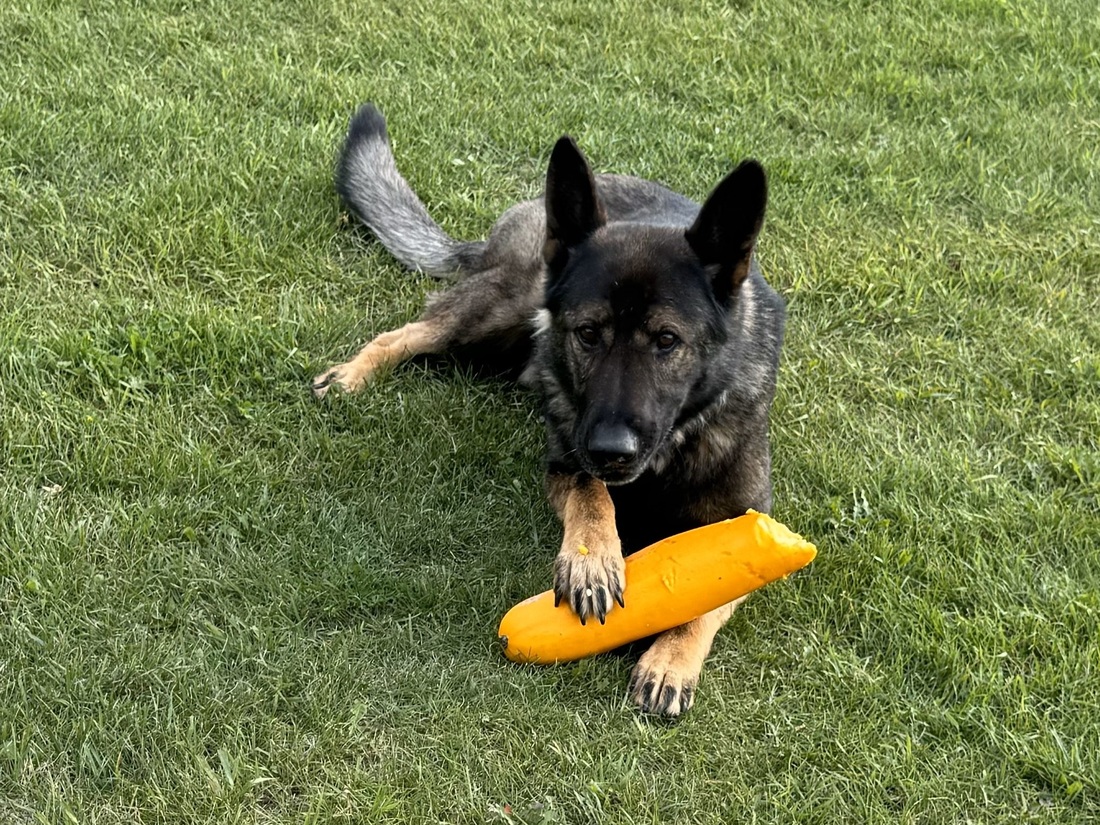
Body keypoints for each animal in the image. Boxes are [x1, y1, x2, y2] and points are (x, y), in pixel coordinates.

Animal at [314, 106, 787, 721]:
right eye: (587, 333)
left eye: (666, 340)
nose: (612, 450)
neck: (668, 456)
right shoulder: (566, 460)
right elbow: (591, 494)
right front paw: (592, 560)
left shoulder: (748, 522)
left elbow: (713, 593)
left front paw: (670, 658)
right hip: (503, 307)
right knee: (406, 333)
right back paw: (351, 375)